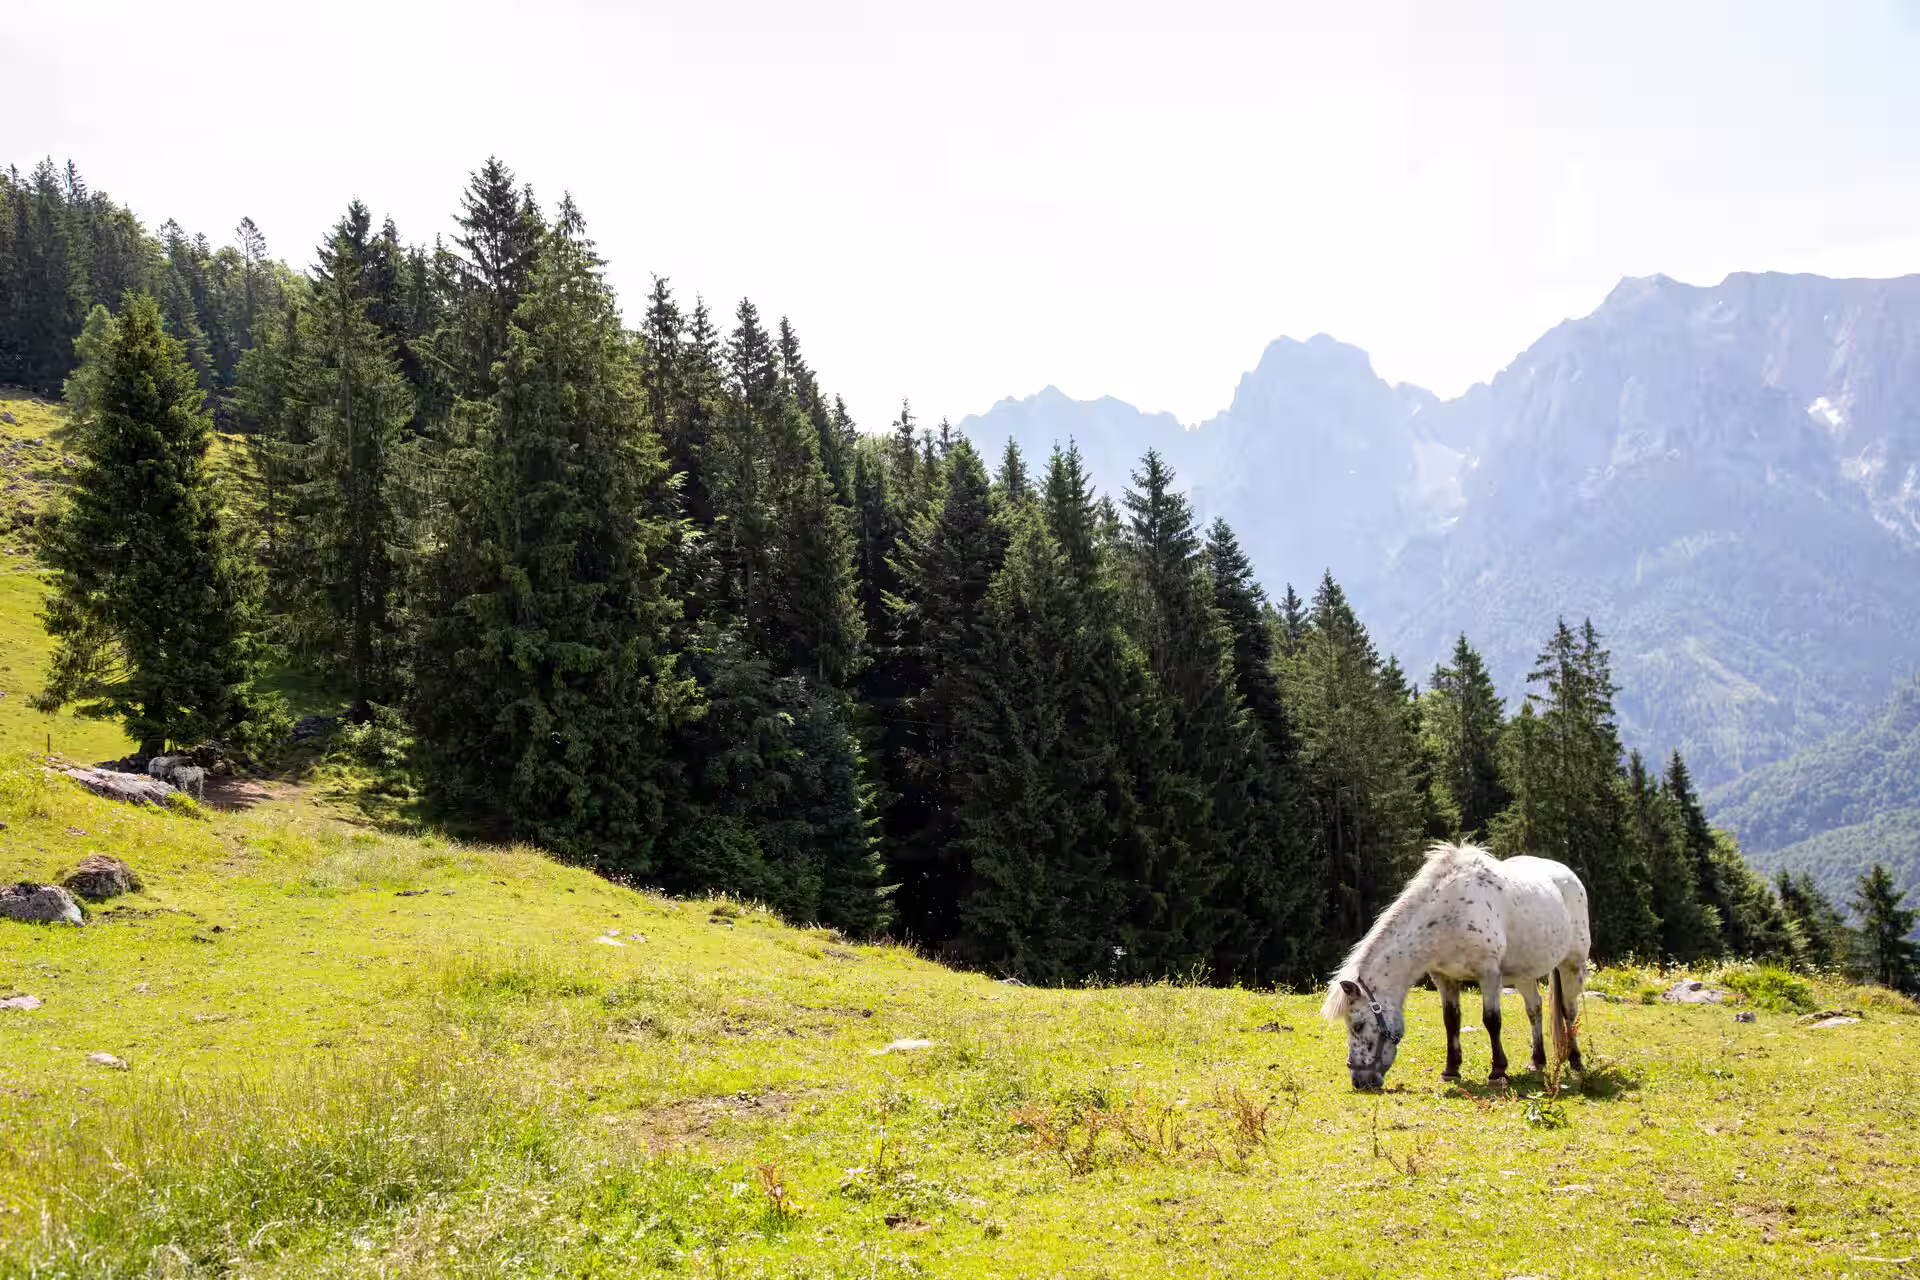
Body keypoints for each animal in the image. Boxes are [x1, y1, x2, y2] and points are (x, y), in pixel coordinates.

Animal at [1320, 842, 1591, 1090]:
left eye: (1357, 1025)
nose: (1359, 1081)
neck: (1450, 912)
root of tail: (1569, 876)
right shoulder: (1444, 977)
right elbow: (1451, 1020)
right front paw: (1451, 1070)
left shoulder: (1489, 974)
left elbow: (1492, 1020)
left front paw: (1498, 1072)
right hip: (1524, 974)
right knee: (1534, 1009)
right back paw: (1537, 1061)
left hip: (1572, 965)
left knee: (1569, 1011)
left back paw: (1576, 1061)